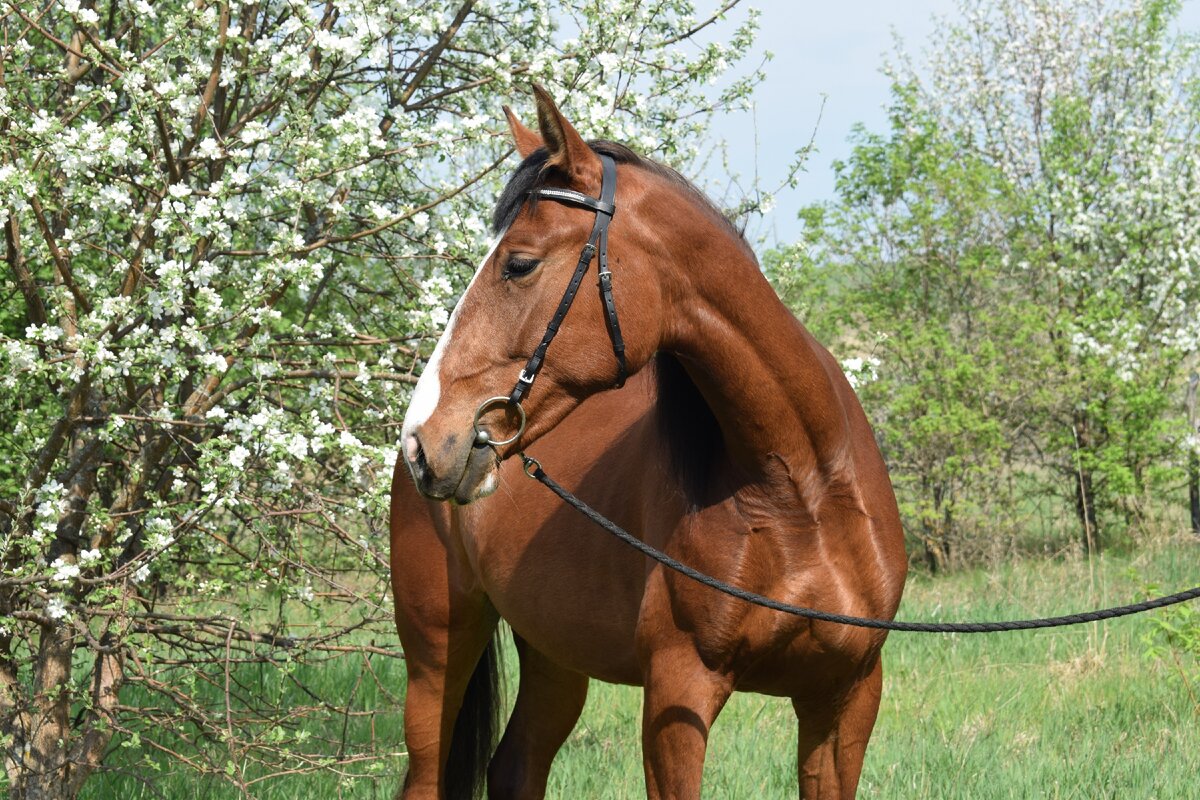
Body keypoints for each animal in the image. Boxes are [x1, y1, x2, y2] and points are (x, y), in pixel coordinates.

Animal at [388, 84, 902, 796]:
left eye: (519, 264)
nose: (423, 439)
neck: (804, 494)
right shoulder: (677, 694)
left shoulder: (846, 697)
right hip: (437, 650)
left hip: (553, 652)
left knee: (516, 765)